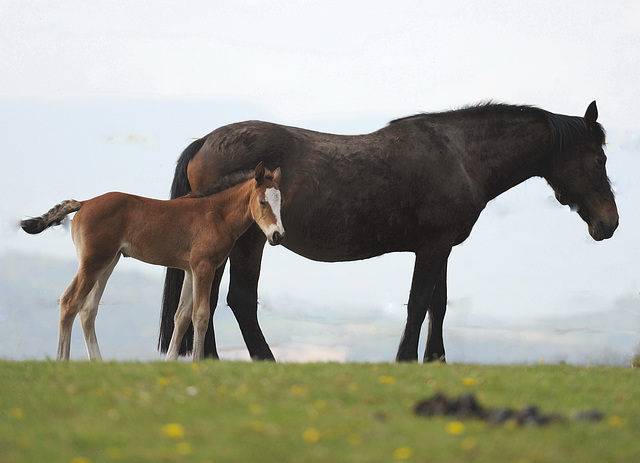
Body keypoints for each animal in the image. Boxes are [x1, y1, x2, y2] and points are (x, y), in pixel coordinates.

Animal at [159, 100, 620, 362]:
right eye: (599, 159)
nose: (609, 223)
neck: (461, 156)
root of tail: (204, 141)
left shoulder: (442, 248)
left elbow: (438, 305)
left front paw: (435, 361)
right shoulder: (431, 248)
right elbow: (418, 304)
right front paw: (404, 359)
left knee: (209, 299)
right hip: (250, 241)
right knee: (239, 300)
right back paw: (263, 361)